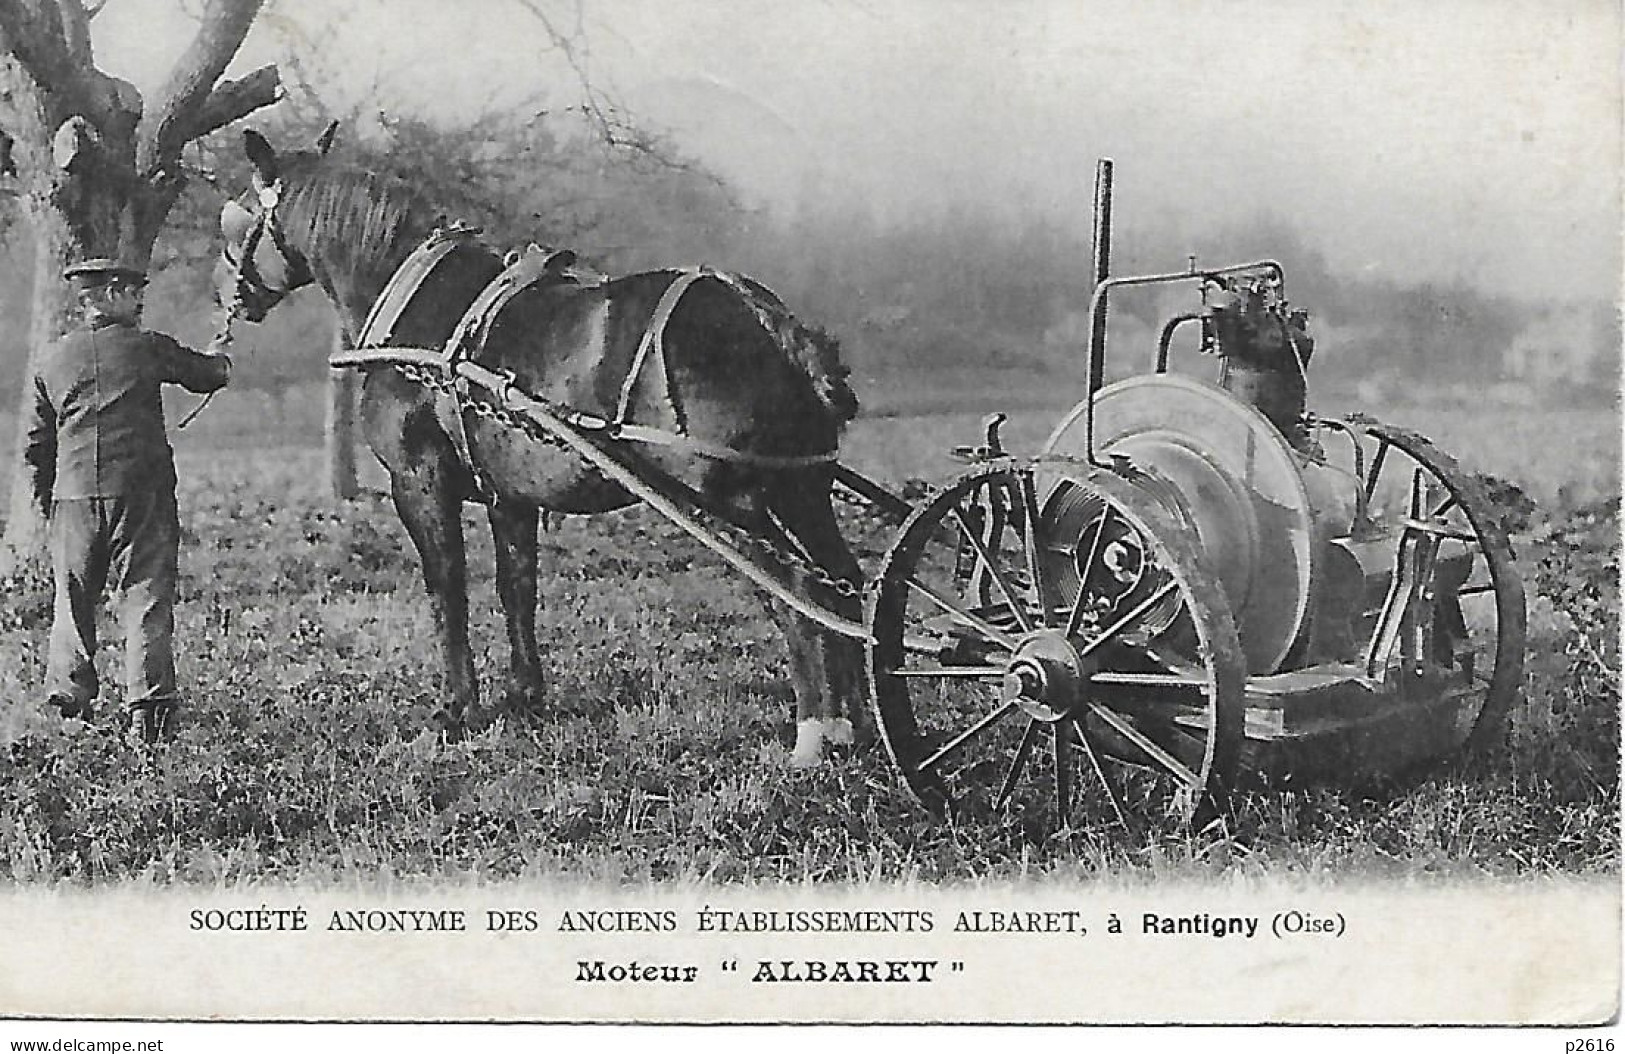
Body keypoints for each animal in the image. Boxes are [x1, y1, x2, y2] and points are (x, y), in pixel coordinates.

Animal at [219, 127, 864, 763]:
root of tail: (764, 317)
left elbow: (447, 586)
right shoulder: (509, 494)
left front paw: (457, 708)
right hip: (801, 490)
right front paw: (525, 697)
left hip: (733, 503)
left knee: (798, 593)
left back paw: (815, 732)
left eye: (239, 214)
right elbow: (517, 587)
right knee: (847, 585)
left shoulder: (420, 481)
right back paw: (856, 722)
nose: (230, 293)